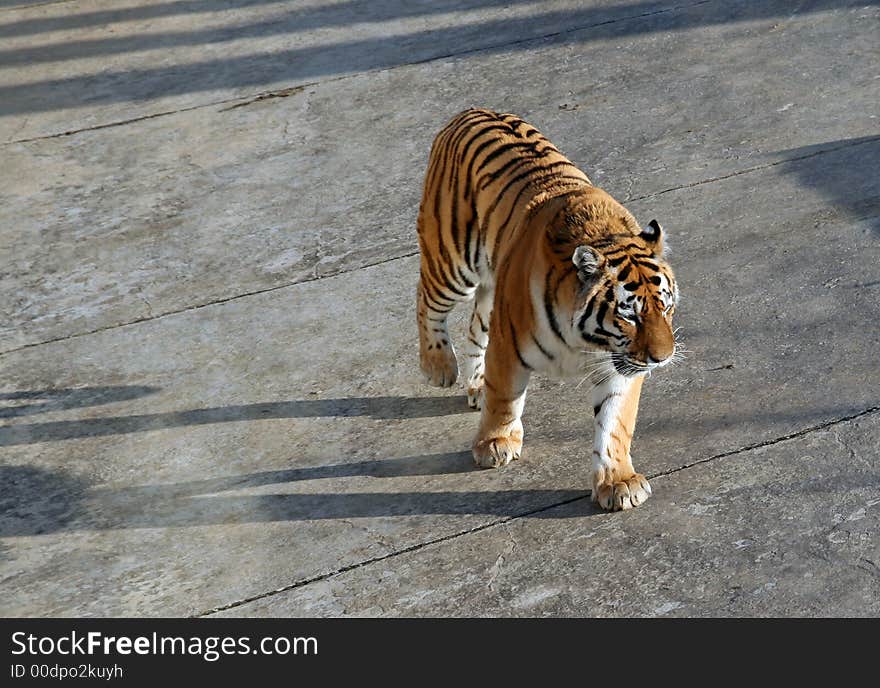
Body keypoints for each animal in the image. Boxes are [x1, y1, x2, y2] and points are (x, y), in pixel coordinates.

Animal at [414, 107, 680, 510]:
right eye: (629, 315)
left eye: (665, 308)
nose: (662, 359)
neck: (586, 340)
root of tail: (471, 110)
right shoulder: (508, 348)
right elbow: (505, 399)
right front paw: (495, 444)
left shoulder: (620, 366)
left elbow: (615, 424)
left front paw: (618, 481)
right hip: (452, 264)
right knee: (426, 299)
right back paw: (440, 366)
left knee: (475, 326)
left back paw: (476, 385)